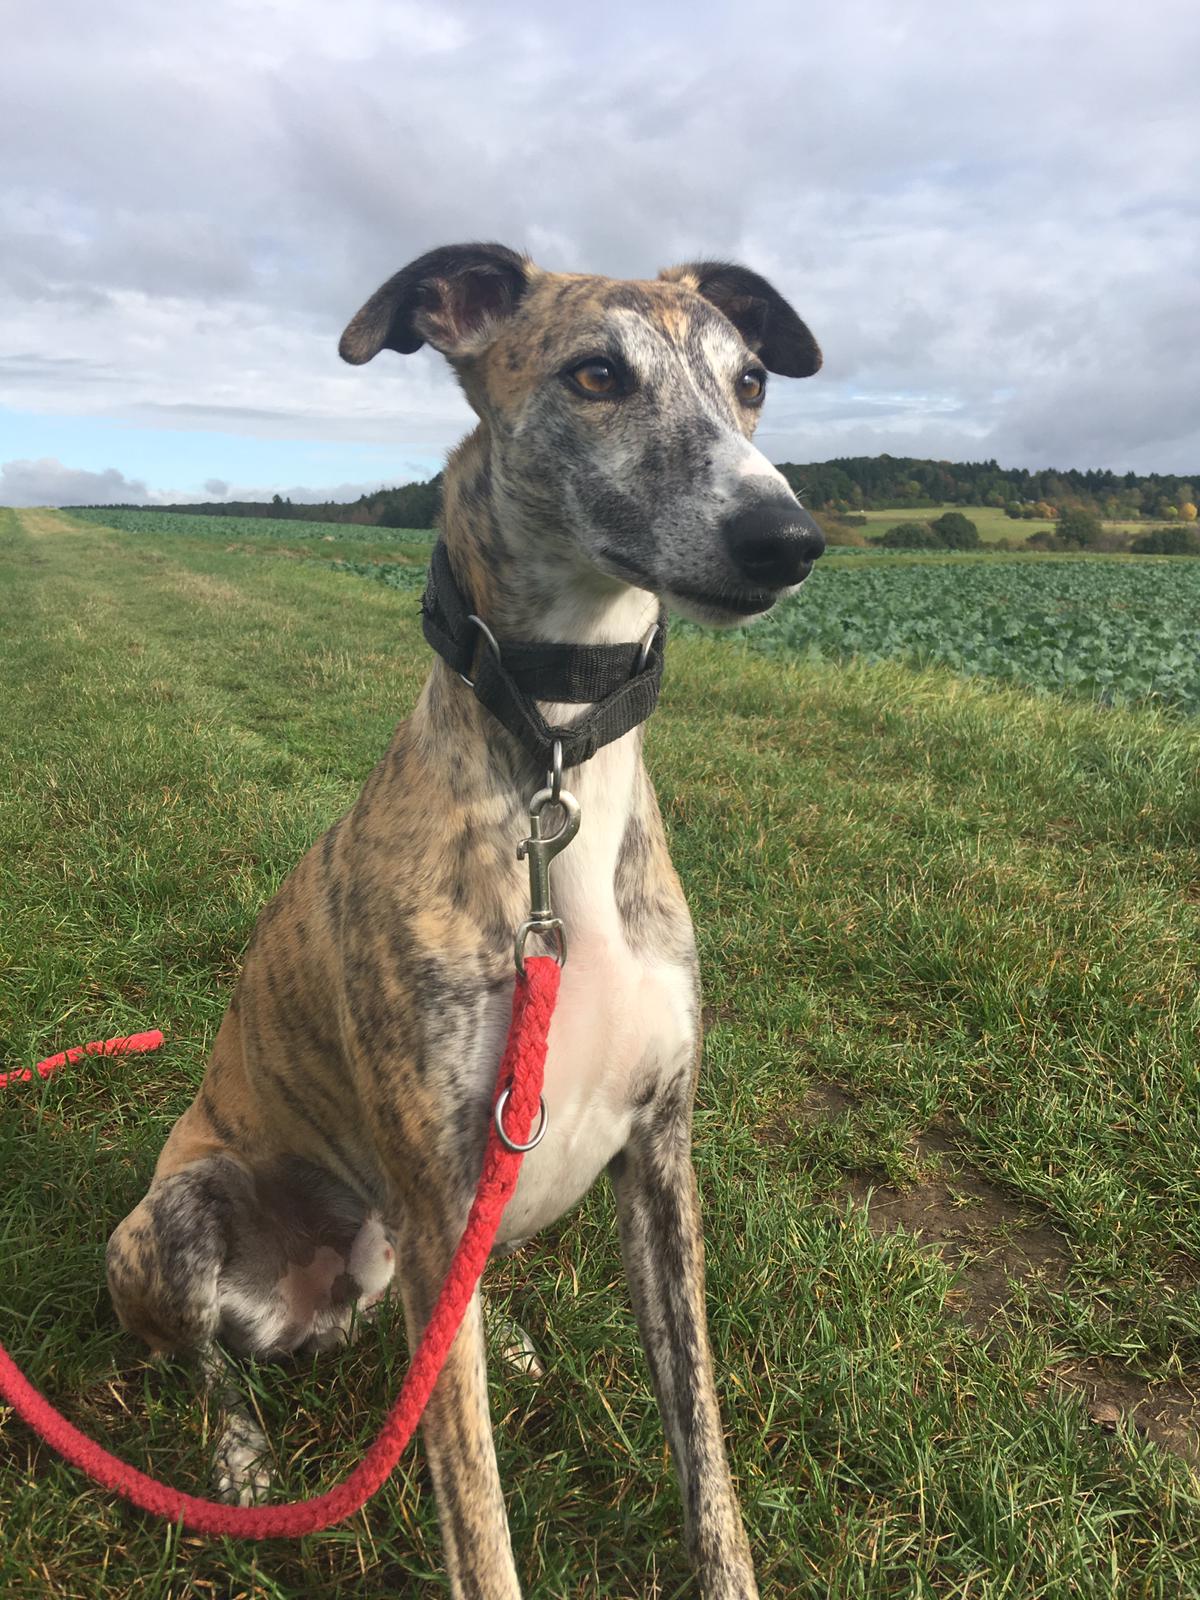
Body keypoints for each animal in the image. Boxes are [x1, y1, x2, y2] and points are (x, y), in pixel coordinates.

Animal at [106, 243, 824, 1597]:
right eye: (595, 374)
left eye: (750, 378)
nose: (789, 540)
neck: (553, 749)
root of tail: (315, 1302)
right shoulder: (441, 1189)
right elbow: (477, 1513)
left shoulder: (662, 1153)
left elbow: (703, 1444)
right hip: (172, 1222)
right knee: (215, 1361)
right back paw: (240, 1457)